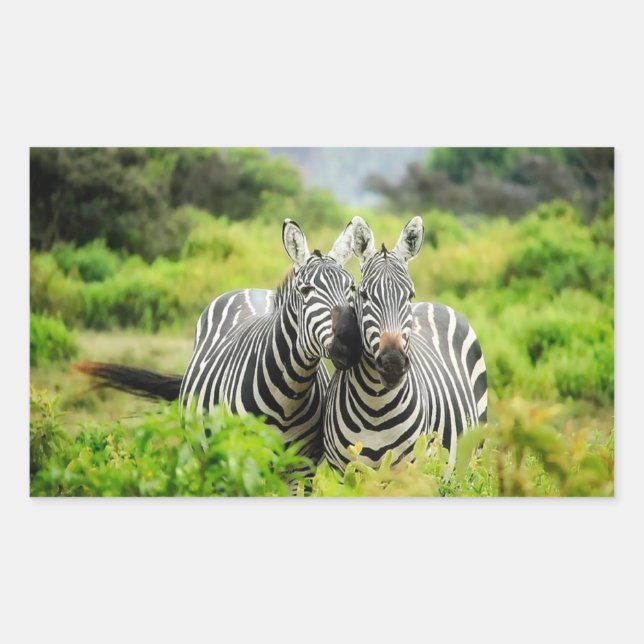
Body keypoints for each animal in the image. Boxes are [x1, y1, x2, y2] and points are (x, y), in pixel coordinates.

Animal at [78, 219, 361, 464]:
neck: (290, 395)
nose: (350, 341)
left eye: (352, 288)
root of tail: (250, 289)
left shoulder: (302, 468)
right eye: (306, 290)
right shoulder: (242, 459)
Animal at [322, 216, 488, 473]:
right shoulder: (342, 471)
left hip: (472, 456)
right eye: (364, 295)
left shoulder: (410, 469)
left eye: (410, 295)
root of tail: (435, 304)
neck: (375, 407)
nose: (393, 363)